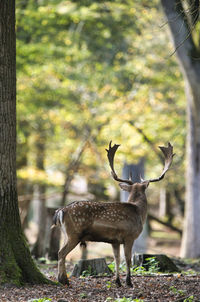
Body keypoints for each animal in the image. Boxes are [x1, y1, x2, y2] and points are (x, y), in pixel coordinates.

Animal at [52, 142, 175, 288]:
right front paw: (129, 282)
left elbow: (116, 259)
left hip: (66, 233)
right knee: (61, 253)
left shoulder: (114, 241)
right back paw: (64, 280)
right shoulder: (129, 236)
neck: (138, 212)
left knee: (60, 252)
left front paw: (118, 282)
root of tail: (61, 210)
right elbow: (127, 259)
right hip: (74, 233)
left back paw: (62, 279)